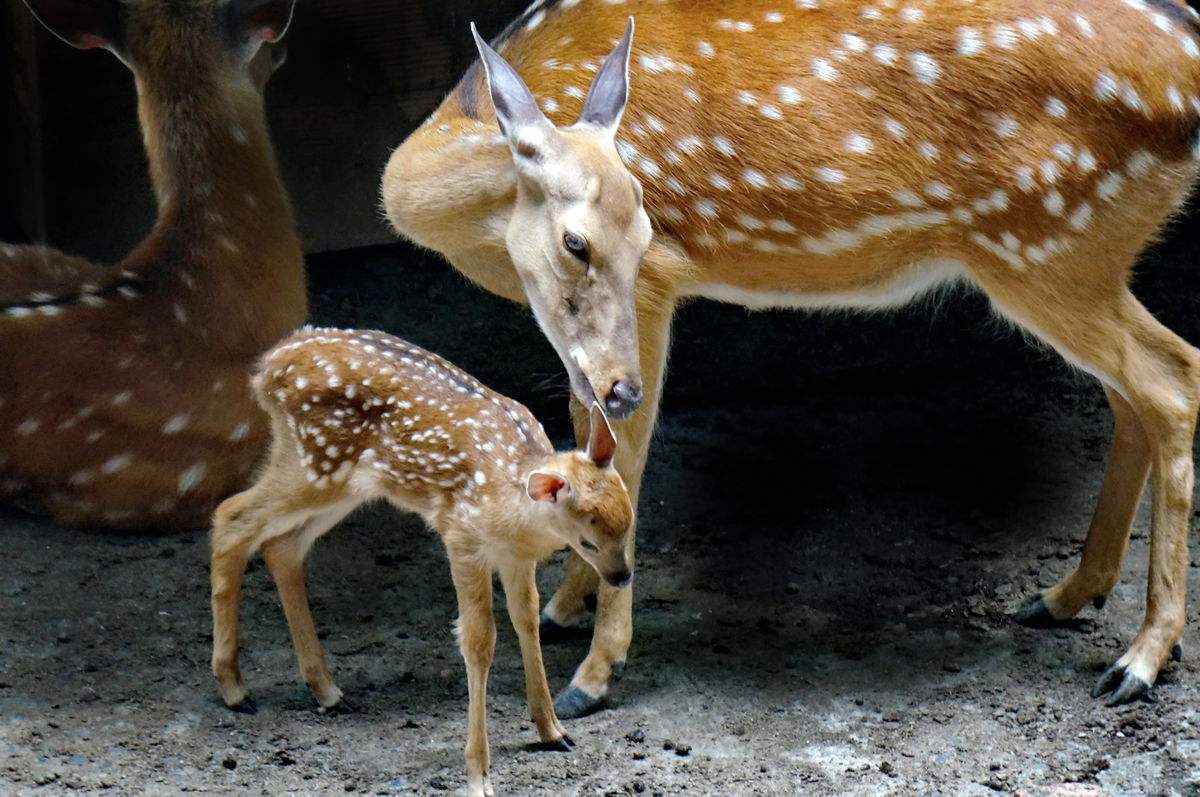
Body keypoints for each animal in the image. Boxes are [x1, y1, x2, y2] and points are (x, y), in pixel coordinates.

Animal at [210, 326, 633, 797]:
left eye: (628, 522)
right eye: (588, 541)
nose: (622, 577)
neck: (512, 502)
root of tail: (266, 368)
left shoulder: (514, 556)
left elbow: (526, 621)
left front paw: (553, 731)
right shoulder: (461, 536)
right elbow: (478, 641)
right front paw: (479, 776)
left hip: (341, 482)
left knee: (281, 546)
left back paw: (326, 691)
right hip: (314, 462)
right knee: (231, 517)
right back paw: (234, 688)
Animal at [381, 0, 1200, 710]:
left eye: (648, 233)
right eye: (575, 243)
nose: (625, 389)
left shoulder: (657, 289)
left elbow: (627, 457)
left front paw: (595, 674)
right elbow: (585, 439)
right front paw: (563, 605)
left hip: (1044, 239)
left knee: (1173, 378)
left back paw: (1139, 659)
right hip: (1076, 255)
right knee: (1133, 395)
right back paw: (1066, 595)